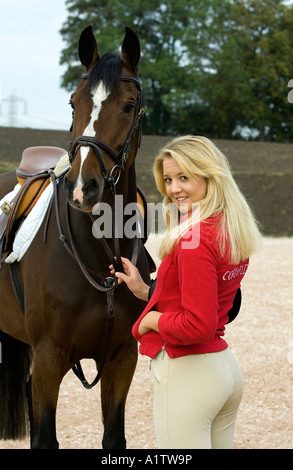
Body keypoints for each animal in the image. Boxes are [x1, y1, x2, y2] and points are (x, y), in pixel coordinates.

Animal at [0, 24, 151, 448]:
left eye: (129, 106)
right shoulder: (49, 361)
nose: (84, 188)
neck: (102, 254)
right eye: (72, 103)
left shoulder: (121, 358)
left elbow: (114, 437)